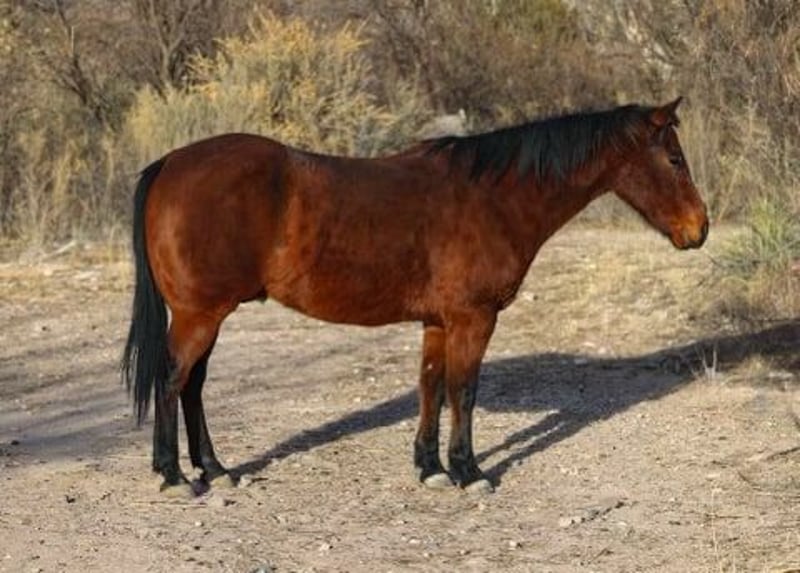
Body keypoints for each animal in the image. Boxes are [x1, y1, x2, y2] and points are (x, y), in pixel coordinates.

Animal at [121, 97, 708, 496]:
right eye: (675, 159)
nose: (699, 229)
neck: (492, 197)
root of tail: (170, 164)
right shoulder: (473, 318)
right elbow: (463, 391)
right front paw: (469, 471)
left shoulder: (438, 321)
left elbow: (431, 387)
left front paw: (430, 468)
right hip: (200, 315)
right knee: (173, 380)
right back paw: (175, 475)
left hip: (206, 315)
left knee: (192, 386)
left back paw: (215, 469)